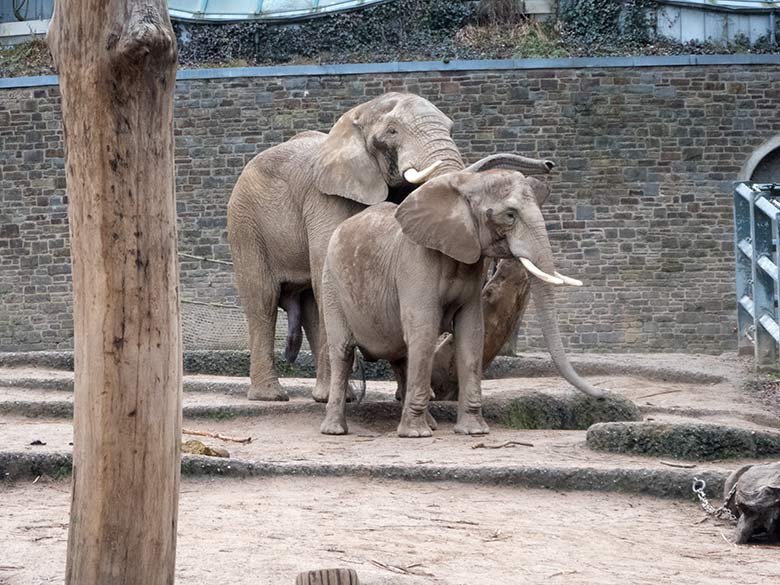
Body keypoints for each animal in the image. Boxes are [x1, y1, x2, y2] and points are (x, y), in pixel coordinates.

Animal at [229, 92, 466, 402]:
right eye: (392, 131)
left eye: (451, 130)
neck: (357, 116)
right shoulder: (324, 198)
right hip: (245, 222)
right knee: (263, 298)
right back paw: (272, 396)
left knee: (309, 303)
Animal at [320, 162, 608, 436]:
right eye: (510, 215)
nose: (603, 397)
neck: (466, 185)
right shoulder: (416, 262)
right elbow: (424, 330)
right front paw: (416, 435)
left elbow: (471, 333)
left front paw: (473, 431)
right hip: (331, 284)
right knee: (343, 351)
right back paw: (336, 430)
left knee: (402, 354)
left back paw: (430, 423)